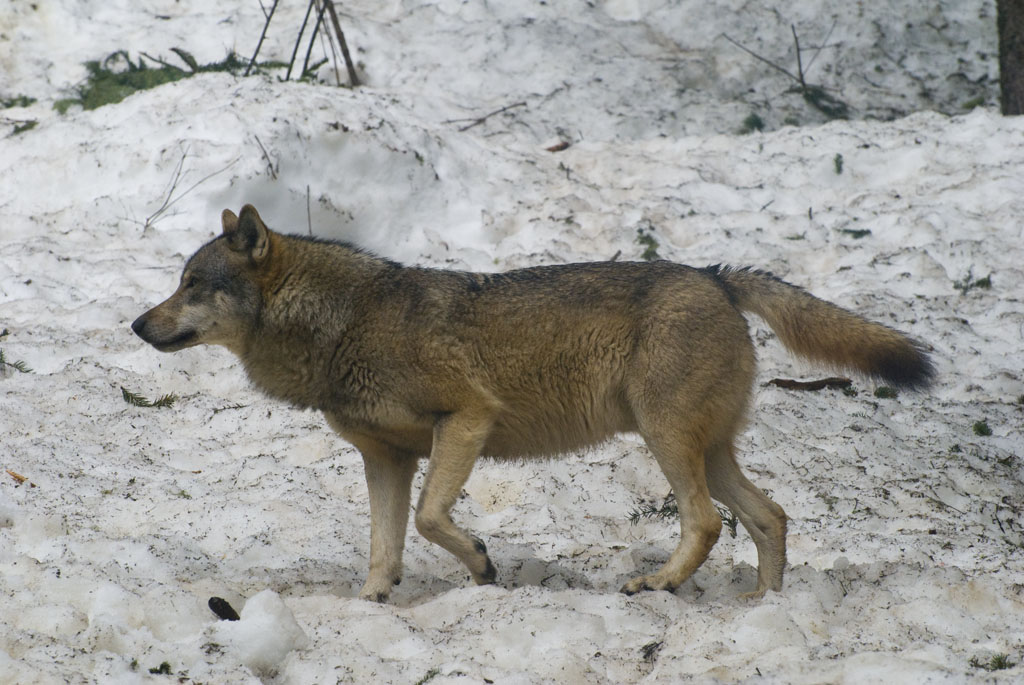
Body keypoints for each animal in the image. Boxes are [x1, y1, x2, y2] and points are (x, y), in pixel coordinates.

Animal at [132, 205, 933, 602]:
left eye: (192, 284)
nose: (138, 324)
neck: (344, 322)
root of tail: (715, 274)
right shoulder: (385, 459)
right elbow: (384, 547)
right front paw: (370, 606)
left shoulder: (466, 421)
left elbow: (429, 520)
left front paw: (484, 569)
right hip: (704, 449)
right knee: (770, 517)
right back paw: (763, 611)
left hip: (666, 439)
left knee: (707, 522)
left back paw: (657, 585)